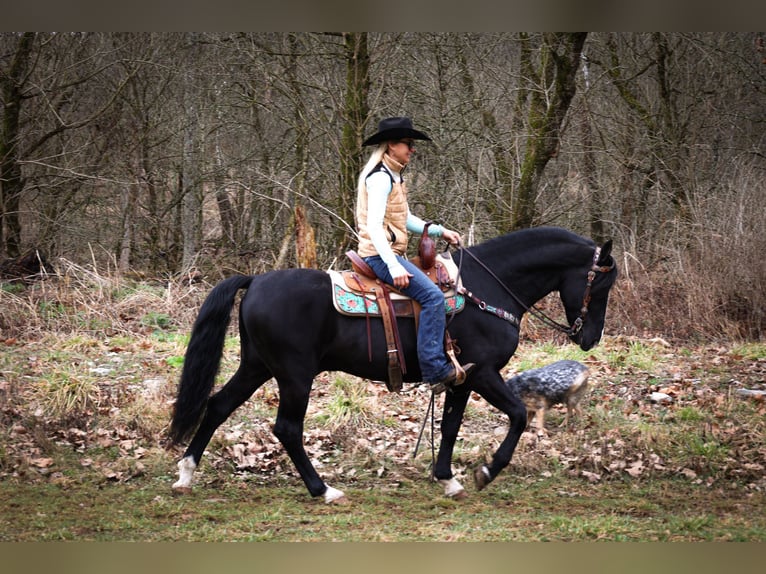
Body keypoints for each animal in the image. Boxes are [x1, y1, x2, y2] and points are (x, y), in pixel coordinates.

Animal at [168, 226, 616, 504]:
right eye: (603, 283)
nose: (590, 338)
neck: (486, 290)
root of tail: (256, 280)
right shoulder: (484, 373)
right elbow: (520, 415)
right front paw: (487, 471)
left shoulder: (461, 379)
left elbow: (450, 426)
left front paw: (448, 478)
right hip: (295, 375)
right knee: (287, 428)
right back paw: (323, 490)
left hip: (257, 366)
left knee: (218, 406)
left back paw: (186, 474)